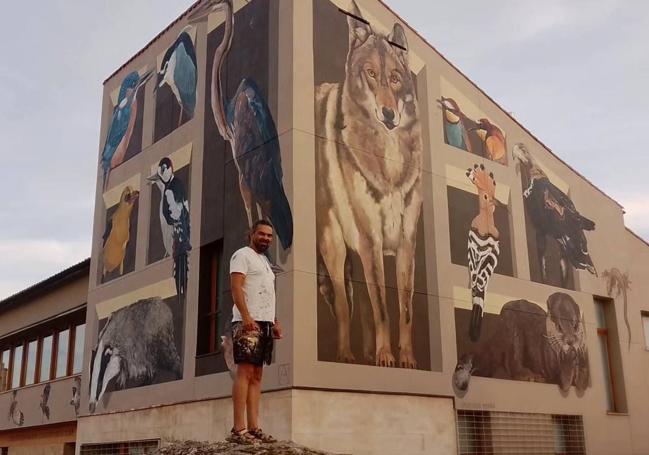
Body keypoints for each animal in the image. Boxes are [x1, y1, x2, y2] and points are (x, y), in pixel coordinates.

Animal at [316, 0, 426, 370]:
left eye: (394, 78)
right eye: (371, 74)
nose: (389, 114)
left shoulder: (406, 243)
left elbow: (404, 308)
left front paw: (406, 358)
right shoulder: (371, 240)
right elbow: (381, 307)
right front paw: (385, 356)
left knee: (359, 303)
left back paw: (363, 354)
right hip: (335, 246)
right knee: (344, 305)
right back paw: (346, 354)